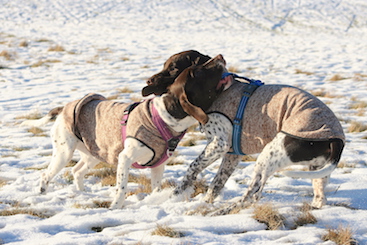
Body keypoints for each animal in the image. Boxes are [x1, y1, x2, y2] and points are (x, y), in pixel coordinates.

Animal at [20, 54, 231, 210]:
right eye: (199, 71)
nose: (220, 56)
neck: (163, 118)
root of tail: (64, 107)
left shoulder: (158, 165)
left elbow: (156, 187)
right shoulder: (125, 158)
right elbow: (121, 188)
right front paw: (115, 207)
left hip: (94, 153)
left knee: (76, 171)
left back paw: (82, 192)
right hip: (64, 152)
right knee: (46, 176)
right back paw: (42, 194)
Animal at [143, 50, 344, 213]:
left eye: (173, 67)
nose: (148, 81)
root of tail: (337, 140)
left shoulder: (219, 144)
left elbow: (192, 168)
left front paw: (176, 197)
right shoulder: (232, 154)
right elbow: (216, 183)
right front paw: (203, 201)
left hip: (268, 156)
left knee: (251, 196)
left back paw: (221, 211)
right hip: (317, 169)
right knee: (319, 197)